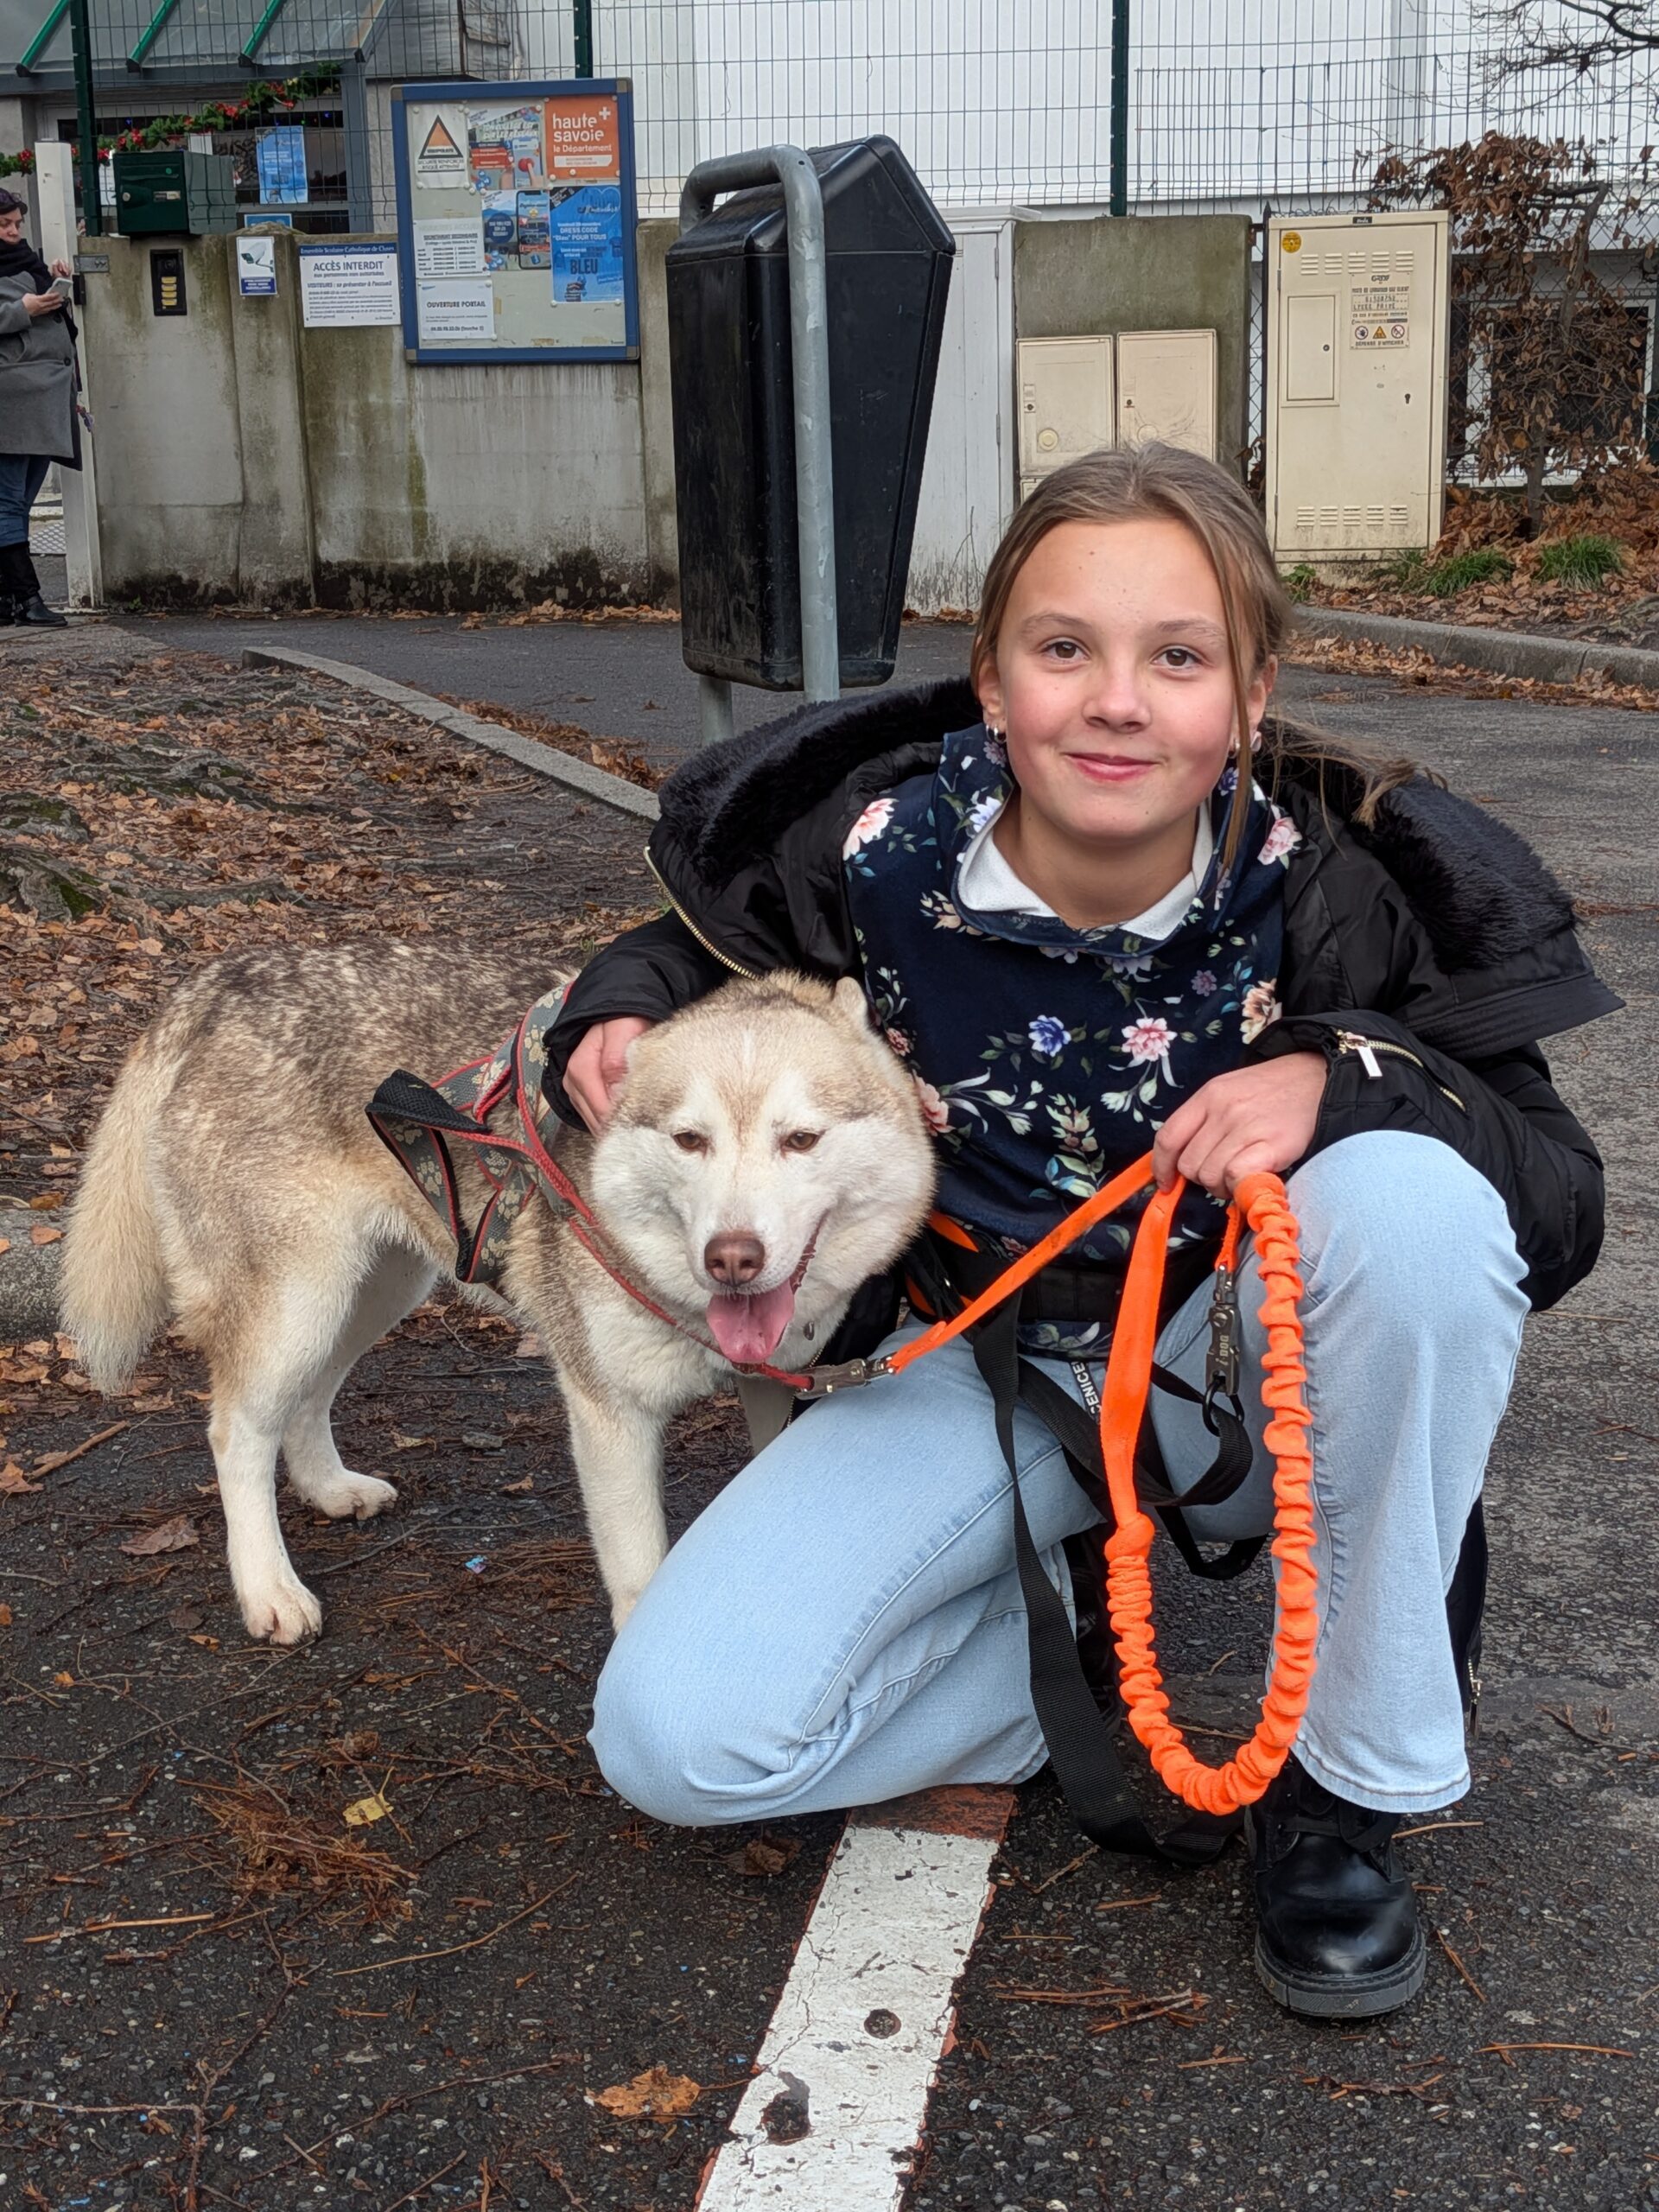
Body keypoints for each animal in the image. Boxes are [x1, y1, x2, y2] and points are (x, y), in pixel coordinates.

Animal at [59, 945, 935, 1645]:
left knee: (305, 1402)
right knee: (236, 1431)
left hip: (376, 1293)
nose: (732, 1260)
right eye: (691, 1140)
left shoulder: (773, 1384)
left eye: (802, 1139)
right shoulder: (610, 1414)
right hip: (299, 1305)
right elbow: (641, 1573)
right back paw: (269, 1590)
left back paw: (331, 1490)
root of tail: (223, 979)